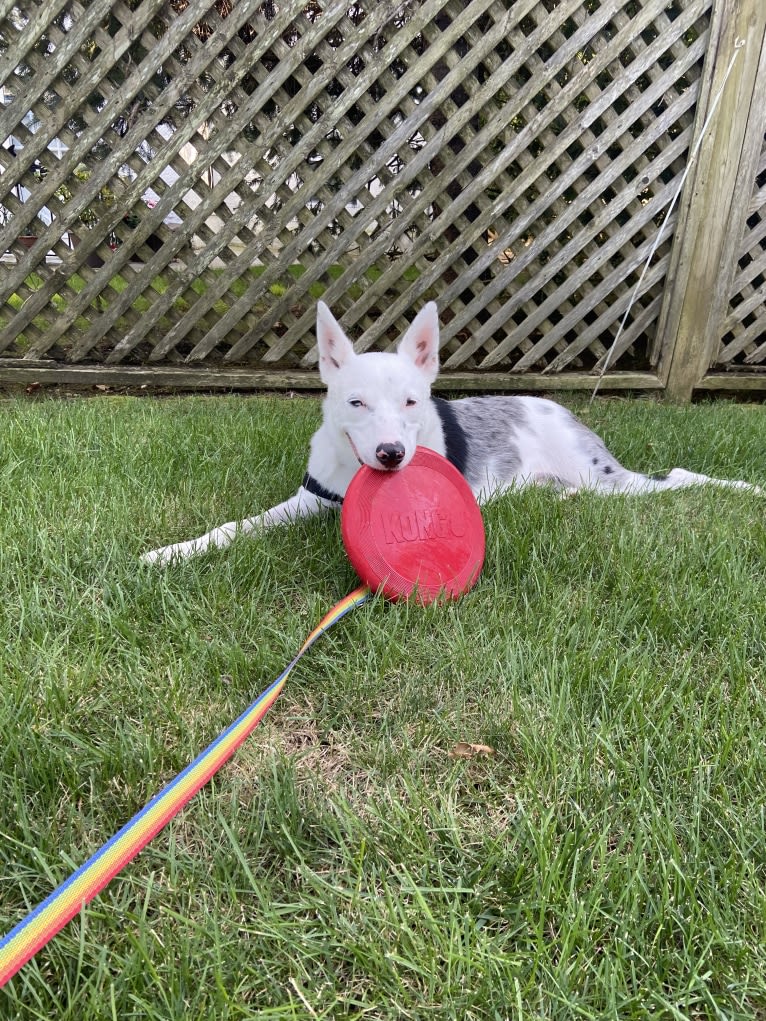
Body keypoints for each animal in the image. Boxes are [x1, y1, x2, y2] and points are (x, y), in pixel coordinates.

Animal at [142, 298, 763, 567]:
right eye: (355, 402)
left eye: (412, 401)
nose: (392, 454)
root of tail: (557, 408)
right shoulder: (305, 499)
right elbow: (236, 526)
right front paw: (173, 552)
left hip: (611, 479)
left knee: (676, 477)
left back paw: (745, 489)